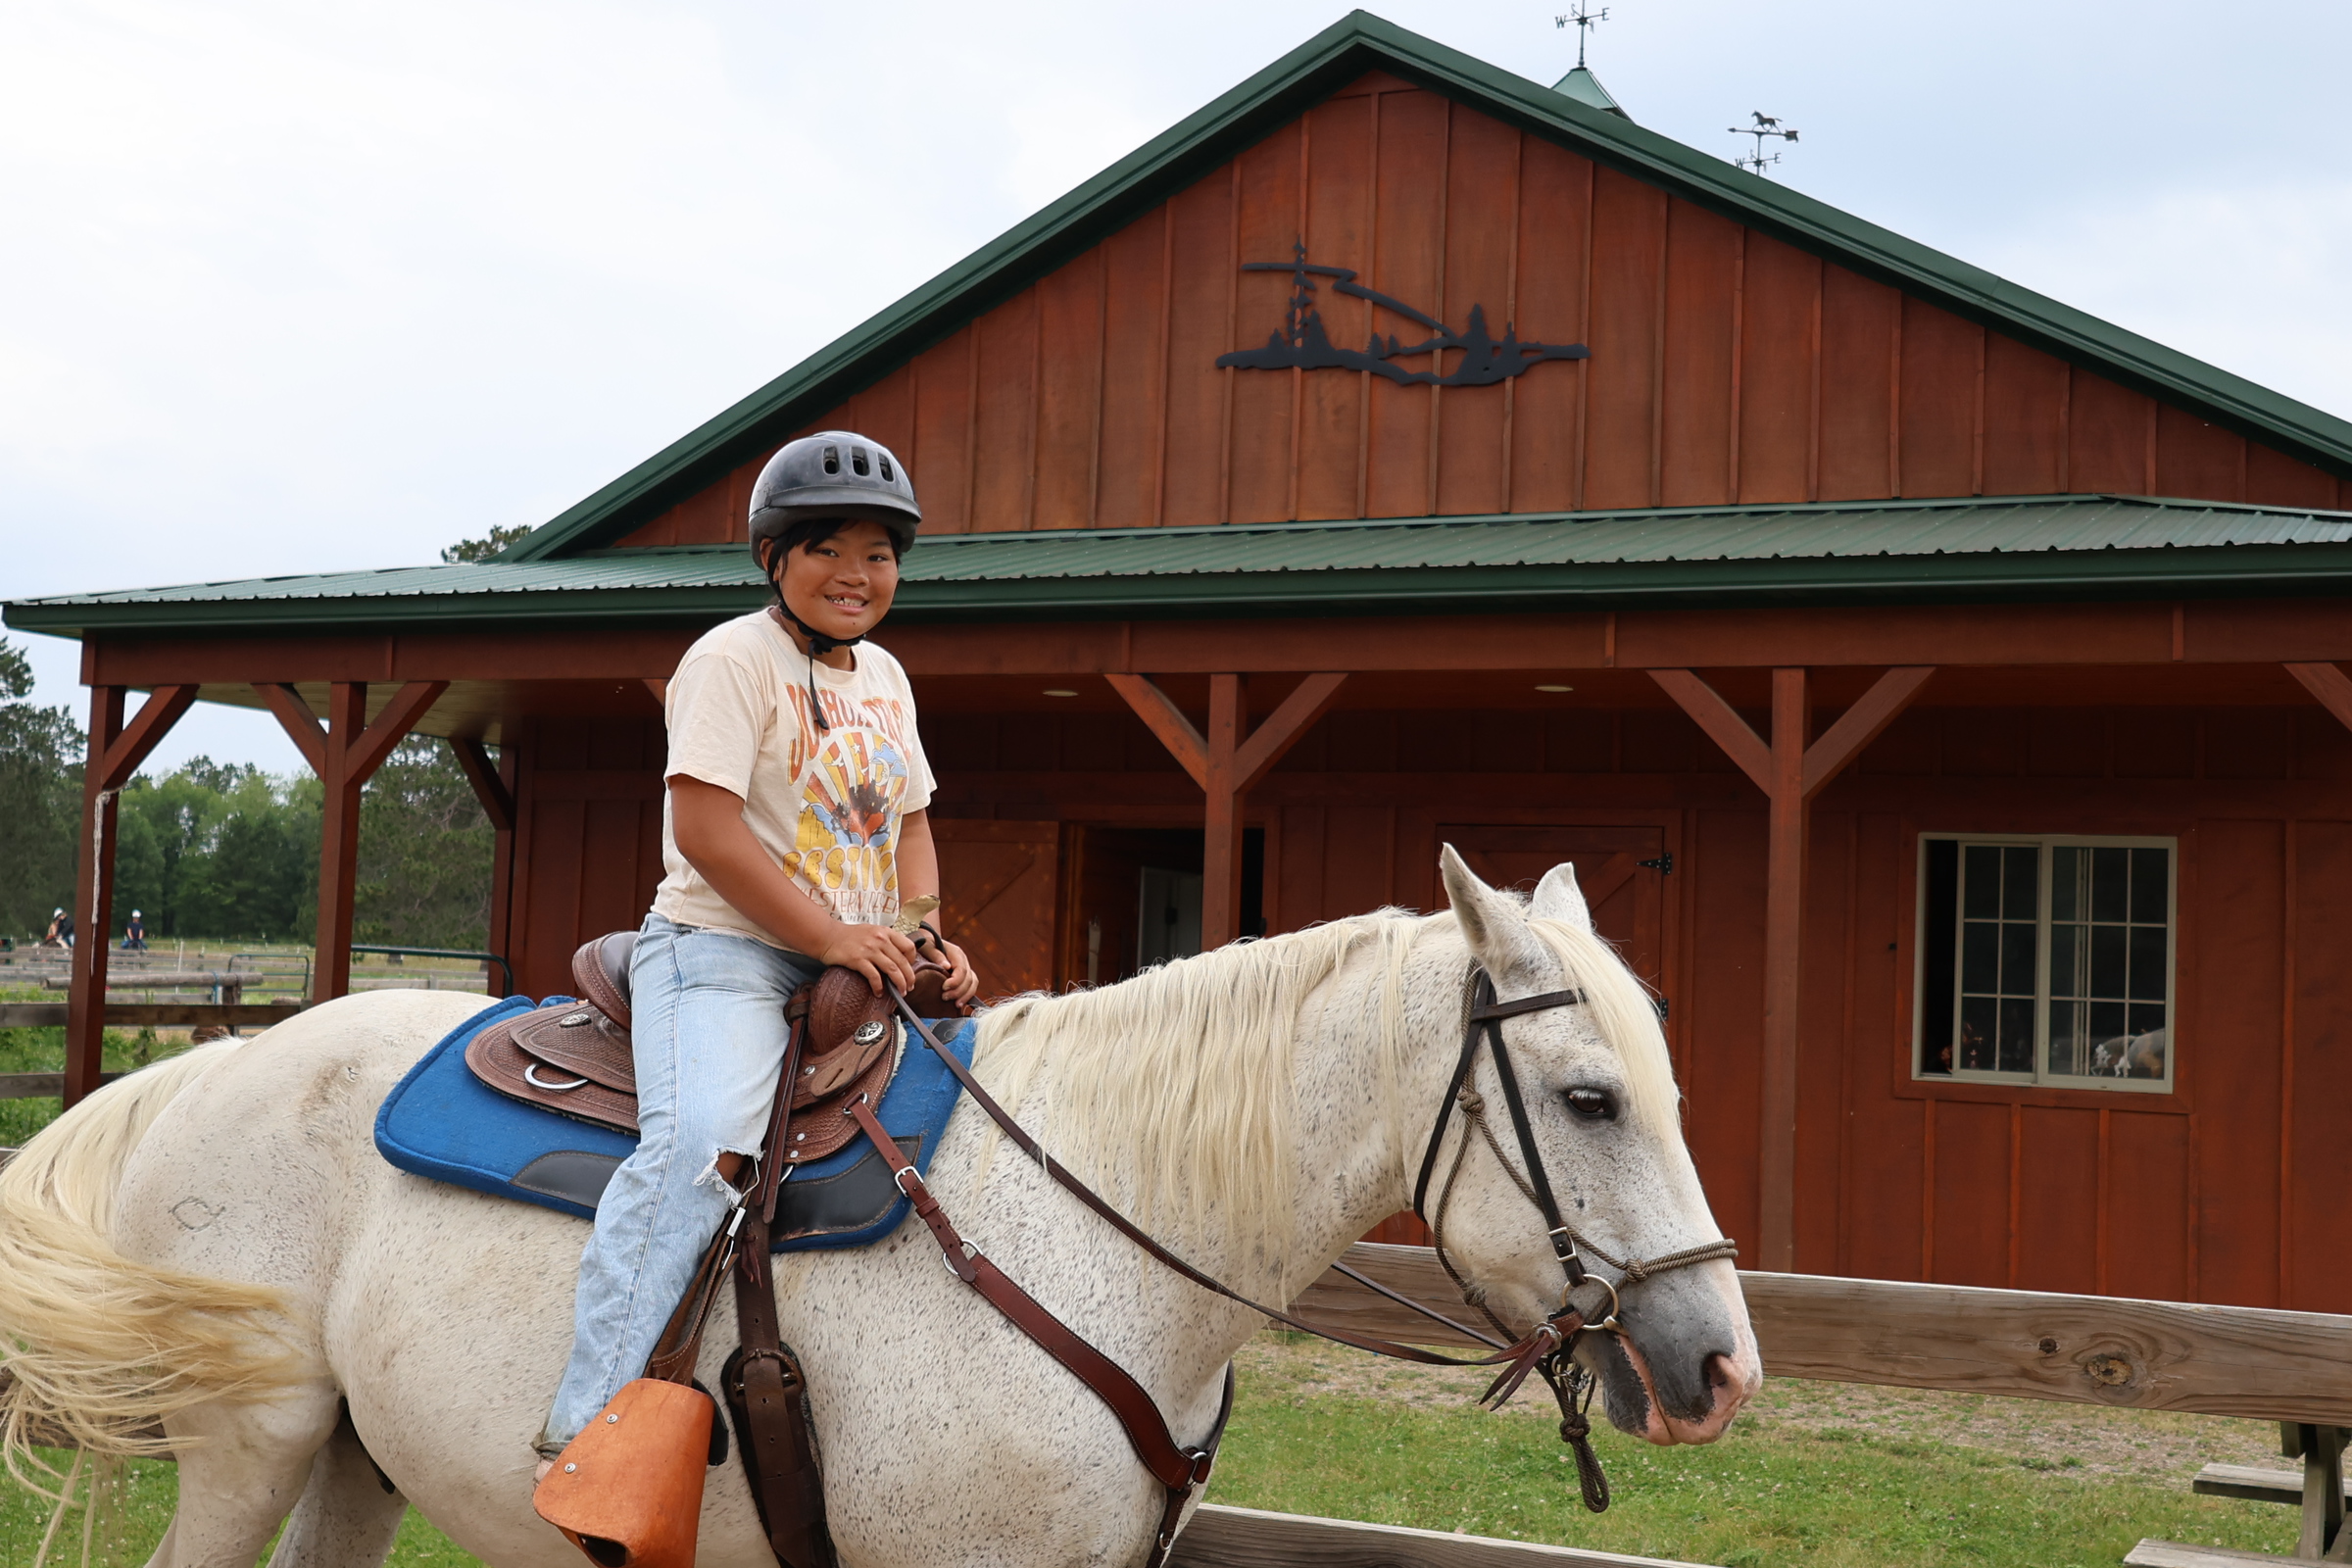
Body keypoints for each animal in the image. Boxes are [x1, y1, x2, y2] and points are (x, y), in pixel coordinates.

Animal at [0, 848, 1760, 1568]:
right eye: (1591, 1099)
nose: (1722, 1368)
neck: (1102, 1227)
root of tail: (210, 1066)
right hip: (248, 1452)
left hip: (354, 1462)